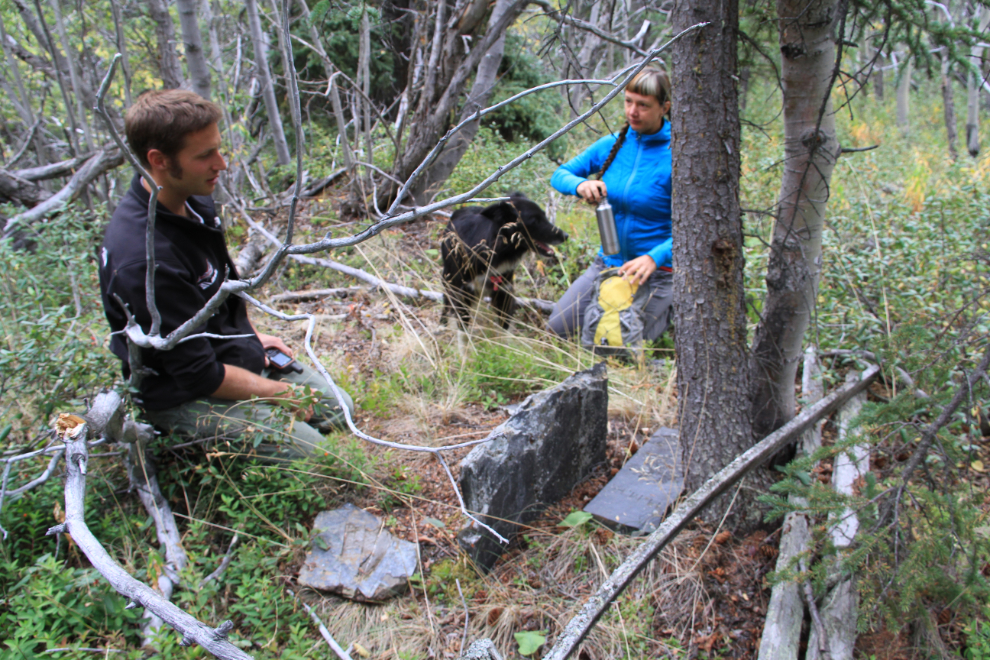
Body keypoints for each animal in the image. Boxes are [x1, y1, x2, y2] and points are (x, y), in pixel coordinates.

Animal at [440, 195, 564, 330]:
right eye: (534, 221)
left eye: (544, 216)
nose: (565, 236)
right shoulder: (465, 291)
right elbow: (463, 328)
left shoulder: (504, 291)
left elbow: (504, 326)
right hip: (449, 279)